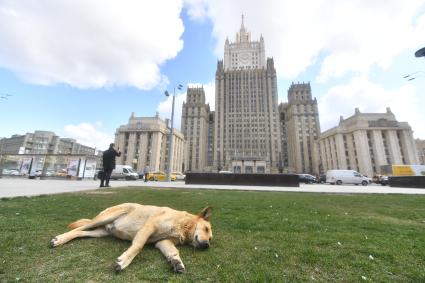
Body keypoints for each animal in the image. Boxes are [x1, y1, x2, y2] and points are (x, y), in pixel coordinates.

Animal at [50, 204, 212, 272]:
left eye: (210, 239)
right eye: (206, 229)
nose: (207, 246)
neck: (183, 224)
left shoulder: (163, 242)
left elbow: (173, 252)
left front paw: (177, 262)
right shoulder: (149, 228)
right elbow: (138, 246)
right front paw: (123, 261)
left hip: (101, 232)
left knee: (80, 232)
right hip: (105, 217)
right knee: (79, 228)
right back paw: (60, 238)